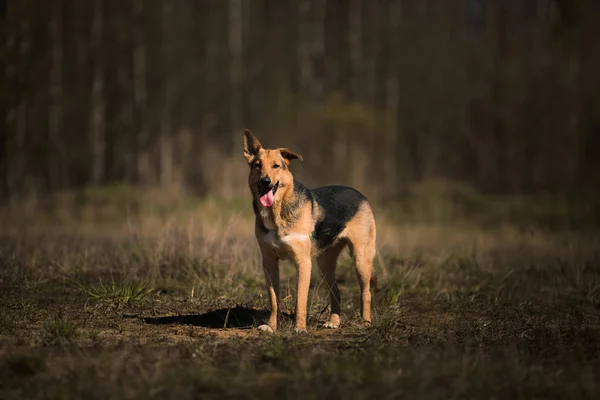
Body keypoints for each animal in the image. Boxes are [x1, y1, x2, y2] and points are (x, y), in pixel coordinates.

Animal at [243, 130, 376, 332]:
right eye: (257, 165)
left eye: (276, 166)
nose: (265, 181)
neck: (277, 212)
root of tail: (360, 194)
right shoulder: (269, 262)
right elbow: (273, 300)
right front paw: (272, 327)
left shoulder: (303, 262)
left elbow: (300, 300)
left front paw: (299, 328)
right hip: (325, 264)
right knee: (336, 290)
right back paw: (334, 321)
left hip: (361, 259)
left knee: (366, 292)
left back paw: (366, 323)